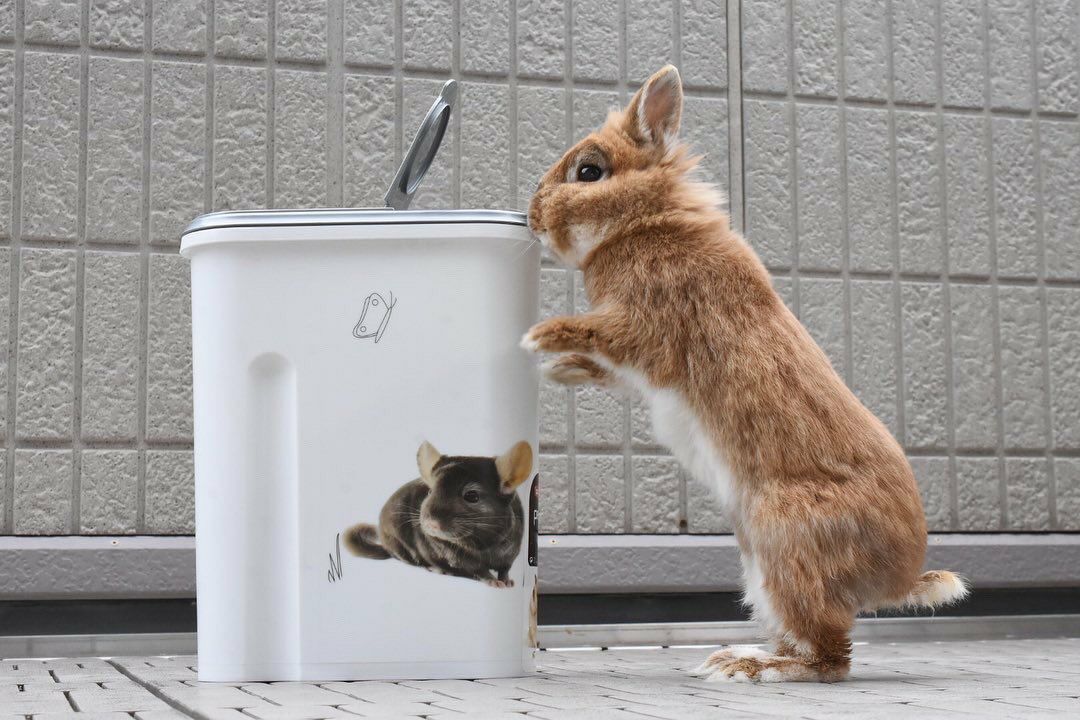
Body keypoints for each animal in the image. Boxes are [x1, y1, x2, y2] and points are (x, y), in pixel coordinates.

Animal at [344, 440, 532, 588]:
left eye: (472, 496)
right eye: (430, 492)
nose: (430, 524)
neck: (483, 544)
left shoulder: (511, 553)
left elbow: (505, 569)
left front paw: (507, 582)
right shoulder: (459, 559)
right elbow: (480, 570)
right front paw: (495, 582)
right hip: (399, 545)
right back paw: (435, 568)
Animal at [520, 65, 968, 682]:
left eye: (589, 172)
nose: (533, 215)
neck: (645, 222)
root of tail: (897, 579)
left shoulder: (646, 326)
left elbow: (598, 333)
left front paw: (539, 337)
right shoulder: (640, 367)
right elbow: (604, 368)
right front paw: (558, 371)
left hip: (785, 541)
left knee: (831, 658)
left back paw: (748, 668)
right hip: (759, 561)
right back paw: (741, 656)